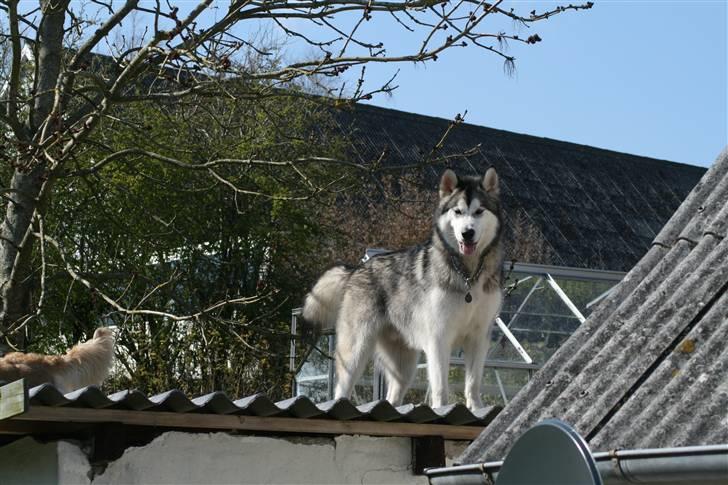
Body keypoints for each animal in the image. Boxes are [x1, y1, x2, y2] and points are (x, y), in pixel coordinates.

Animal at [302, 167, 500, 408]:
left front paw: (477, 408)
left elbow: (473, 384)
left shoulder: (479, 338)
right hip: (355, 353)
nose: (467, 233)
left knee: (391, 396)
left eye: (479, 211)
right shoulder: (438, 338)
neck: (468, 276)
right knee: (341, 389)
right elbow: (440, 387)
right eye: (458, 212)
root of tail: (356, 270)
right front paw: (441, 409)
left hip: (404, 368)